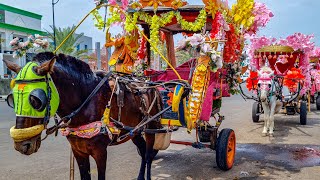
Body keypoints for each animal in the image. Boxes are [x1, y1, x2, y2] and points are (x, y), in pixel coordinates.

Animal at [5, 51, 162, 179]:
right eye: (12, 100)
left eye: (35, 100)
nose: (21, 145)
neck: (86, 100)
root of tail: (150, 83)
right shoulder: (78, 151)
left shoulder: (100, 152)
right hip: (134, 131)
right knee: (142, 150)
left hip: (151, 127)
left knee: (148, 155)